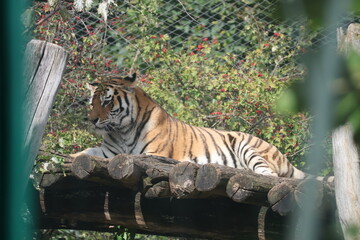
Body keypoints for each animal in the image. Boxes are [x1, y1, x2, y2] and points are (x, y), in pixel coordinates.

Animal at [71, 73, 334, 182]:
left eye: (107, 102)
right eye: (92, 102)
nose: (91, 120)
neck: (122, 131)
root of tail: (284, 159)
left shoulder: (153, 153)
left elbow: (135, 158)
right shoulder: (108, 151)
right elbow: (85, 153)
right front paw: (67, 158)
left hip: (248, 146)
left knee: (269, 175)